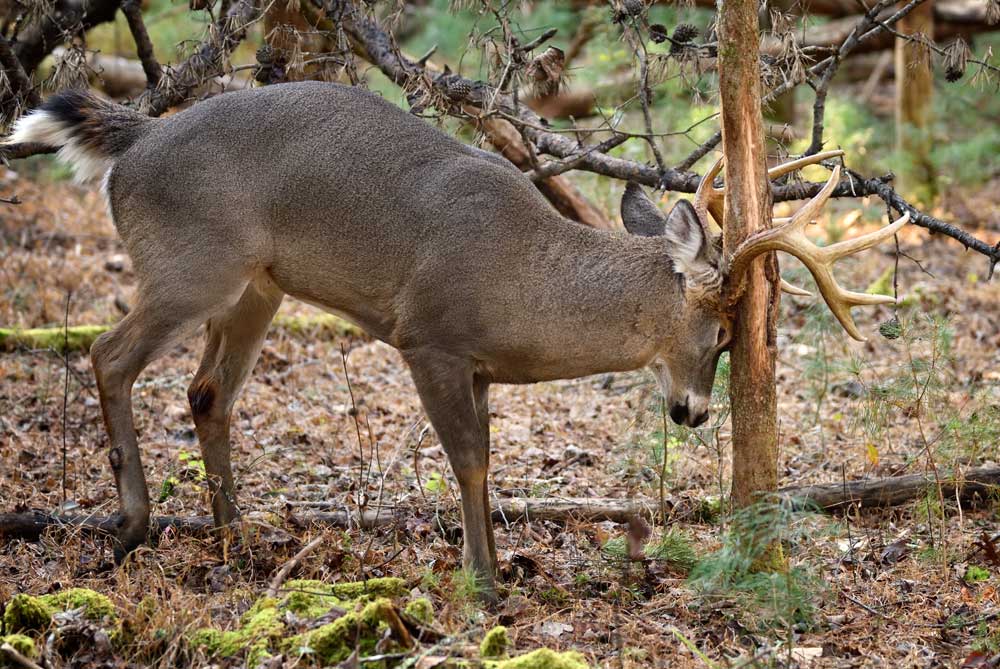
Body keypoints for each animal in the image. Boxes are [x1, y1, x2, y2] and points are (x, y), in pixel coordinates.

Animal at [3, 81, 908, 596]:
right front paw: (485, 582)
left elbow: (487, 458)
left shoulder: (477, 365)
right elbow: (467, 456)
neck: (522, 279)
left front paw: (495, 565)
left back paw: (234, 538)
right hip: (192, 265)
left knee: (205, 391)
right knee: (107, 354)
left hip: (257, 284)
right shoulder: (428, 335)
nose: (693, 413)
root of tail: (133, 145)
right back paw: (132, 523)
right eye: (719, 330)